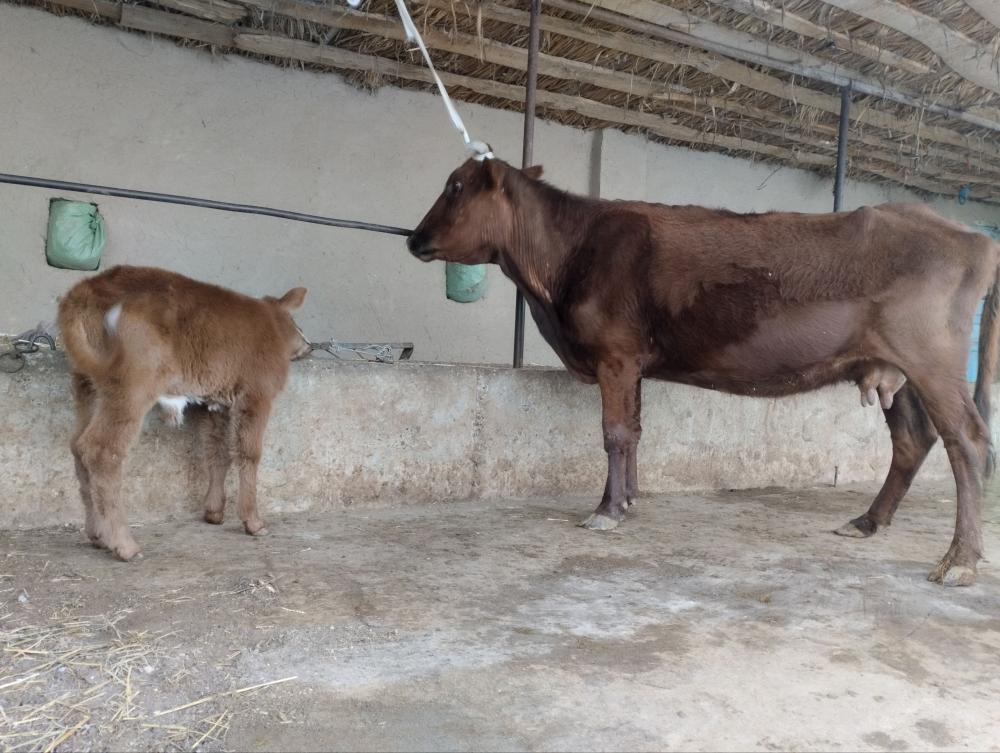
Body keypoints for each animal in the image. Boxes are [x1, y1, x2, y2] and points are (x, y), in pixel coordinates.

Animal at [57, 265, 310, 561]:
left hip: (87, 385)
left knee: (78, 446)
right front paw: (253, 522)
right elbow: (249, 453)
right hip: (131, 386)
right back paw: (124, 544)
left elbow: (218, 452)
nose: (309, 345)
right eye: (298, 324)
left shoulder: (216, 403)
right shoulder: (256, 395)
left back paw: (96, 535)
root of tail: (85, 289)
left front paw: (214, 511)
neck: (271, 322)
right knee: (101, 450)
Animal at [407, 157, 1000, 586]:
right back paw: (868, 522)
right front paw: (628, 500)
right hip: (894, 370)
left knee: (966, 442)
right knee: (913, 440)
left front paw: (606, 510)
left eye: (455, 186)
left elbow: (614, 432)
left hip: (932, 361)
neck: (561, 267)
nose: (413, 238)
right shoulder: (633, 363)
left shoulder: (615, 355)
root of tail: (972, 236)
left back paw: (960, 560)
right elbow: (636, 431)